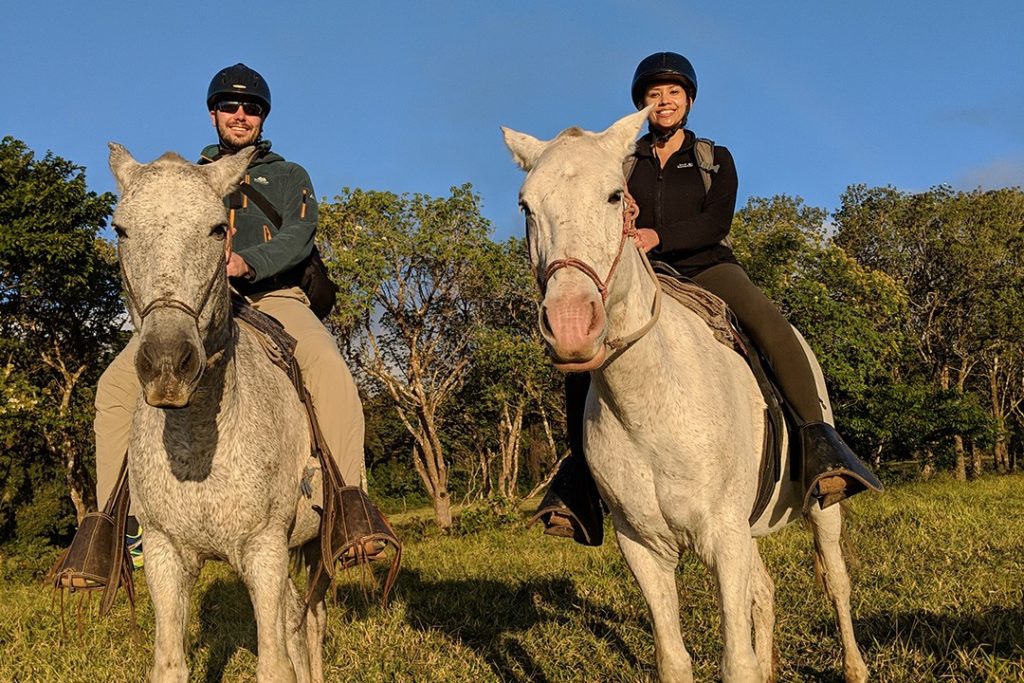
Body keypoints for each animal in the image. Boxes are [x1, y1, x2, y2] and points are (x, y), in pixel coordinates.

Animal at [109, 145, 323, 683]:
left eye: (216, 230)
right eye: (121, 230)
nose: (168, 365)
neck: (200, 443)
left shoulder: (264, 551)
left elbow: (275, 666)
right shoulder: (164, 556)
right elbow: (169, 665)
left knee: (311, 621)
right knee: (297, 616)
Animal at [499, 109, 868, 679]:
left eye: (615, 196)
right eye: (526, 205)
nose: (571, 324)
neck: (650, 403)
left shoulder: (724, 537)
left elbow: (736, 661)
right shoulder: (644, 547)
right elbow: (674, 659)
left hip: (821, 507)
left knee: (836, 583)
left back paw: (855, 666)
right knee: (764, 593)